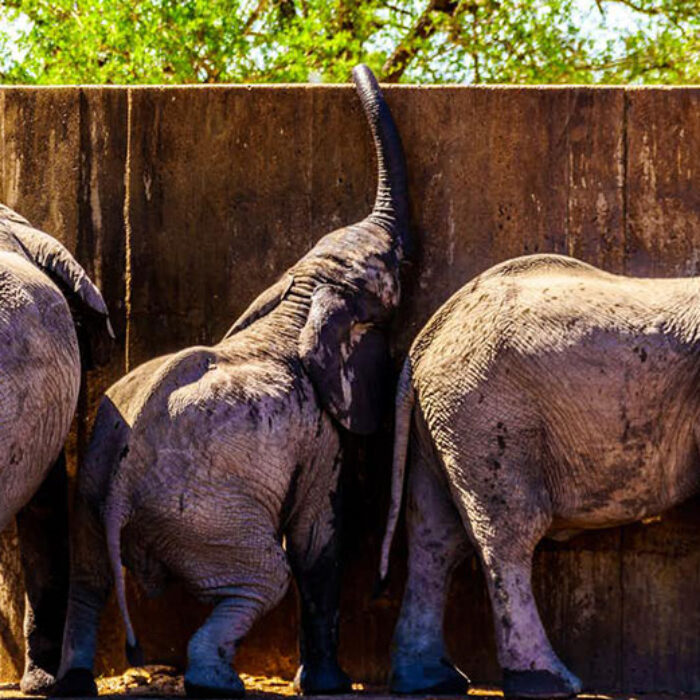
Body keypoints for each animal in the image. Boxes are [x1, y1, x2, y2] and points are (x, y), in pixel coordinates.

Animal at [54, 63, 410, 698]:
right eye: (395, 262)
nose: (356, 71)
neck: (298, 299)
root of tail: (120, 491)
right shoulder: (317, 430)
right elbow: (318, 538)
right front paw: (331, 686)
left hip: (93, 495)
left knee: (88, 579)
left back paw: (76, 682)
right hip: (205, 514)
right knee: (264, 577)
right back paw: (216, 681)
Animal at [381, 252, 700, 698]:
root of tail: (426, 341)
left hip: (442, 423)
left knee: (435, 536)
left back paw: (431, 680)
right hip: (490, 414)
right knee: (509, 532)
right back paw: (546, 681)